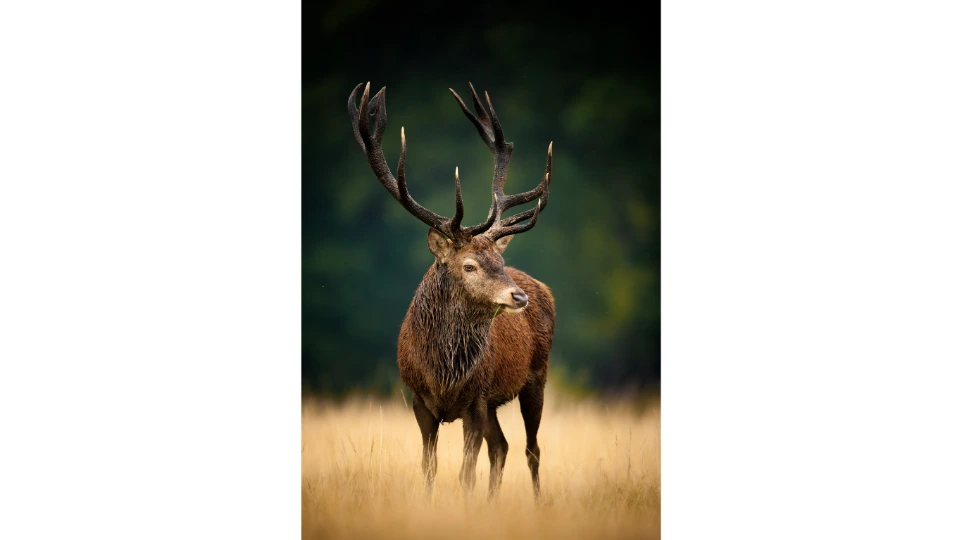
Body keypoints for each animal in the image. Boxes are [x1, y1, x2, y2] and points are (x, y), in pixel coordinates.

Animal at [347, 81, 556, 501]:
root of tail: (543, 289)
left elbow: (465, 473)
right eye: (469, 265)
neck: (444, 375)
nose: (518, 297)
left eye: (499, 260)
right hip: (495, 403)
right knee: (502, 446)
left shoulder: (475, 401)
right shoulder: (419, 402)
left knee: (531, 448)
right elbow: (429, 467)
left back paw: (539, 503)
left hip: (536, 376)